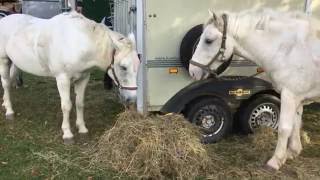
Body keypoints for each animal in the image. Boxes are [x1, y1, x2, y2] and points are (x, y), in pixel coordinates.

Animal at [0, 11, 140, 143]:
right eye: (123, 67)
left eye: (138, 63)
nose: (132, 99)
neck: (76, 42)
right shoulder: (63, 79)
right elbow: (66, 105)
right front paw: (67, 134)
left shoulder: (84, 78)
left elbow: (79, 103)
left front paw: (82, 129)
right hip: (4, 61)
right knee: (6, 83)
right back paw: (9, 111)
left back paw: (5, 103)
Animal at [189, 9, 320, 170]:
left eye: (208, 40)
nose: (192, 71)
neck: (290, 49)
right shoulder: (297, 98)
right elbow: (296, 124)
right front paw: (292, 152)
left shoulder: (289, 95)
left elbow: (284, 128)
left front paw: (275, 161)